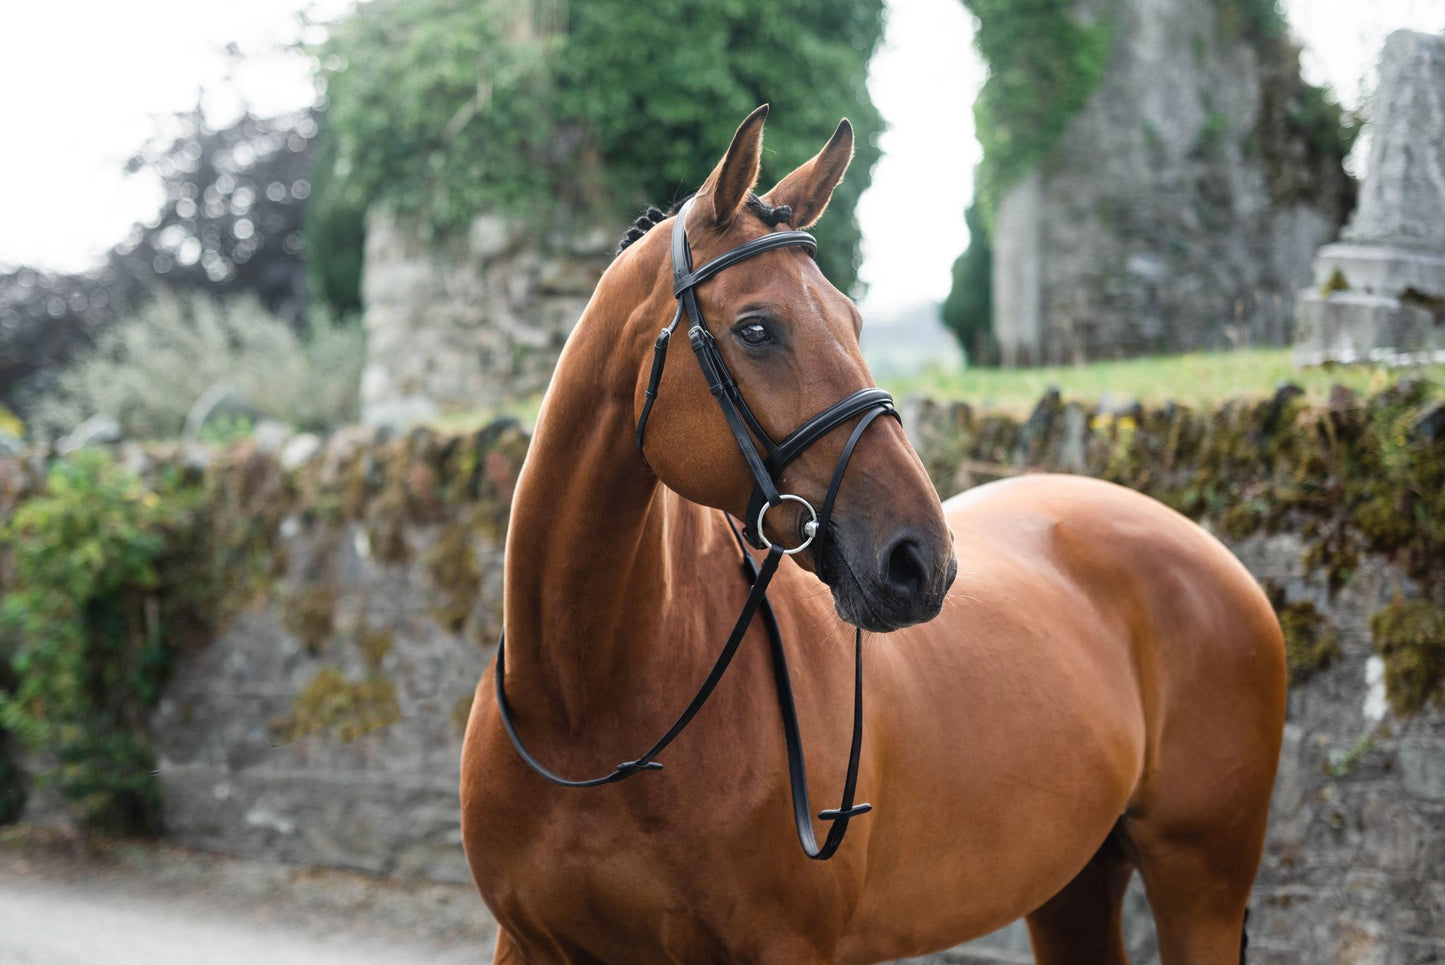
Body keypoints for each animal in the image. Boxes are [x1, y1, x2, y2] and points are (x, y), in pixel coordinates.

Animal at [462, 101, 1288, 959]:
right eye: (755, 329)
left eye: (854, 319)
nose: (920, 560)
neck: (586, 709)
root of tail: (1212, 554)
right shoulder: (525, 941)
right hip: (1074, 885)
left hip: (1200, 885)